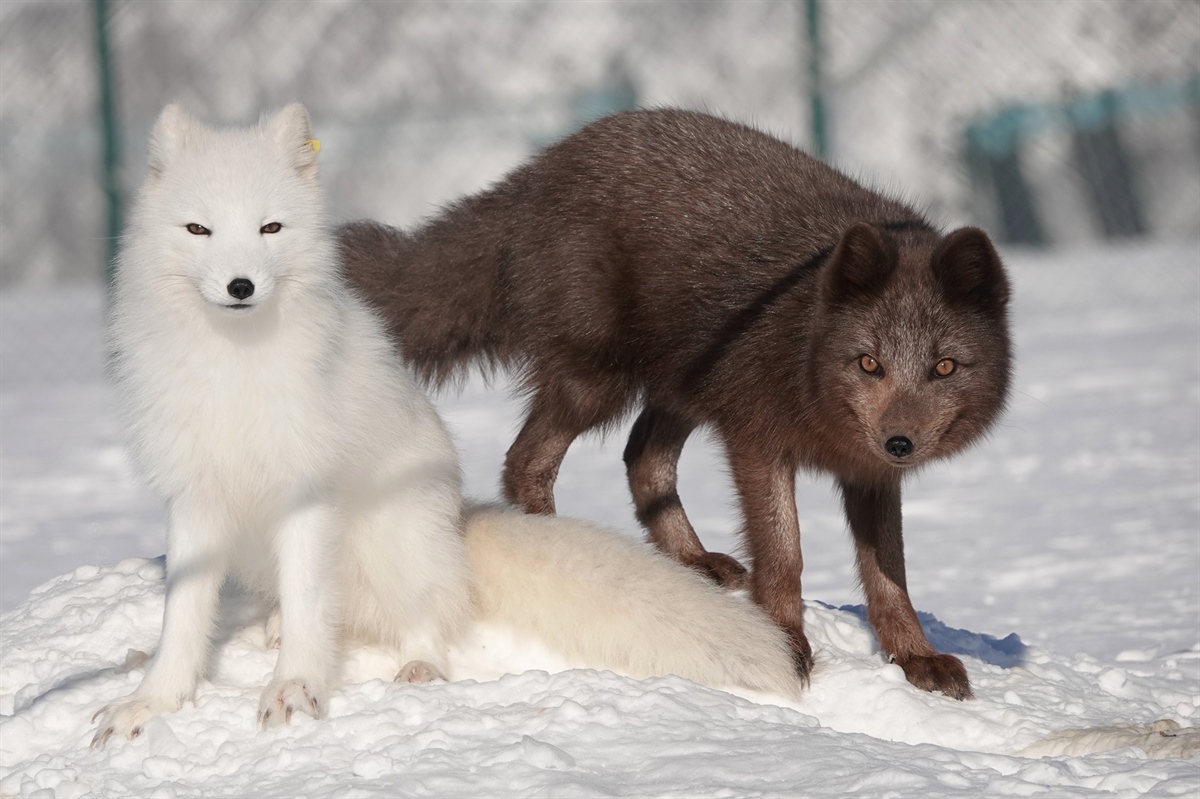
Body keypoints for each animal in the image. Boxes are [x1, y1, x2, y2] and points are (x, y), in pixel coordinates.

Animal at [91, 102, 796, 743]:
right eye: (198, 229)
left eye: (270, 227)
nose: (241, 286)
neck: (233, 370)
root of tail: (457, 523)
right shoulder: (194, 496)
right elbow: (183, 619)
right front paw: (150, 702)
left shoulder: (307, 492)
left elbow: (312, 607)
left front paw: (294, 691)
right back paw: (271, 627)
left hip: (393, 532)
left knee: (426, 611)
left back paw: (418, 667)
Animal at [340, 107, 1012, 695]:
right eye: (869, 363)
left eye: (943, 367)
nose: (900, 442)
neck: (805, 342)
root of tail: (537, 171)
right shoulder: (756, 437)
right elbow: (785, 554)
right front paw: (787, 645)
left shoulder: (868, 472)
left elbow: (889, 574)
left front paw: (916, 657)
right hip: (599, 381)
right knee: (528, 461)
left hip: (683, 384)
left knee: (642, 459)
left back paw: (689, 562)